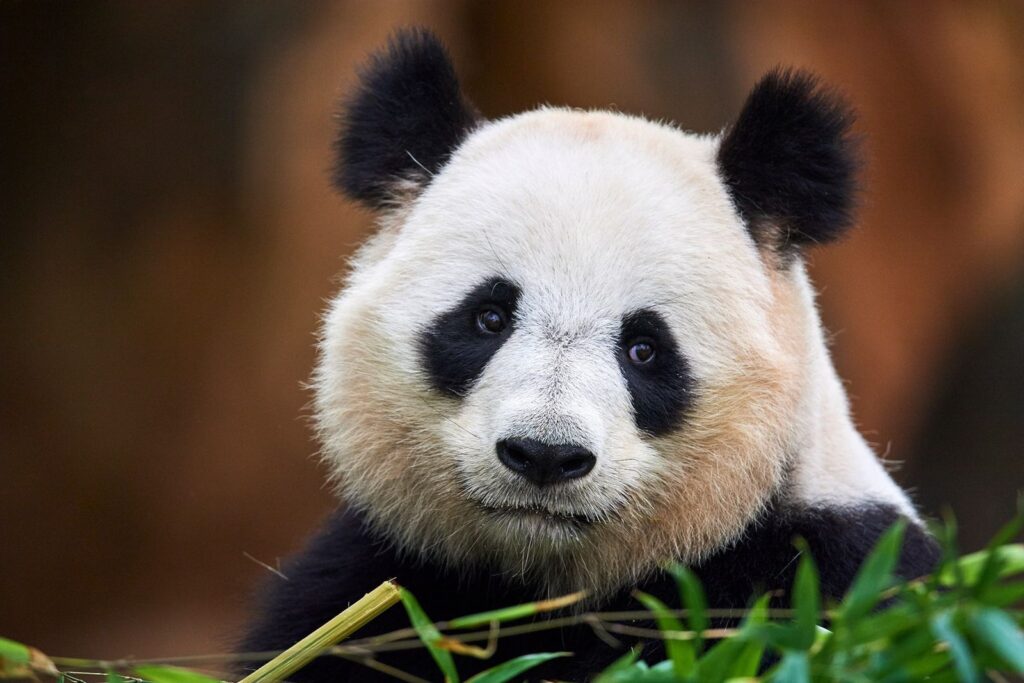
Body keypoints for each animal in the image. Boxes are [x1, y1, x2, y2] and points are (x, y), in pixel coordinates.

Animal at [240, 28, 940, 681]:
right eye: (488, 317)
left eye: (645, 349)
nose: (545, 455)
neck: (541, 582)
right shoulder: (378, 573)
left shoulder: (825, 574)